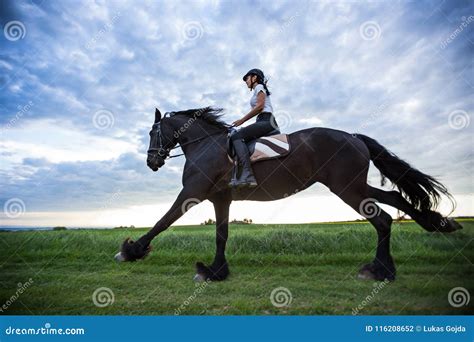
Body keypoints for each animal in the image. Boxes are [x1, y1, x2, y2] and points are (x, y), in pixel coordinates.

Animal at [115, 106, 462, 280]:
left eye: (152, 132)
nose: (151, 162)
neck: (206, 145)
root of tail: (352, 136)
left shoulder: (192, 192)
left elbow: (162, 221)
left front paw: (131, 251)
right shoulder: (220, 198)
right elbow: (221, 235)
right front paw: (215, 271)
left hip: (347, 188)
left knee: (383, 220)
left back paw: (379, 270)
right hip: (355, 185)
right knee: (395, 202)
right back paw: (434, 225)